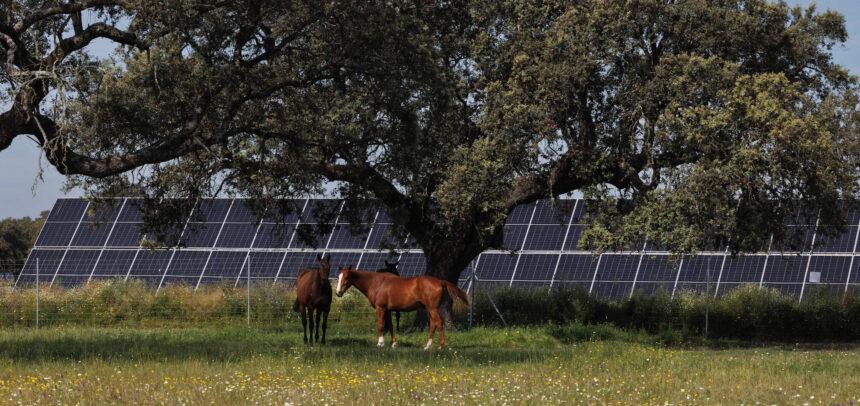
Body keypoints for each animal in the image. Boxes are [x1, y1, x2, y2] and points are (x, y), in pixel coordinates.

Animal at [336, 266, 470, 348]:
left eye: (346, 277)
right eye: (338, 277)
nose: (338, 293)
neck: (376, 283)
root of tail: (440, 281)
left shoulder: (380, 308)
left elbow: (381, 325)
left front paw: (380, 343)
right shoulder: (388, 310)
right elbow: (390, 326)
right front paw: (394, 344)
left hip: (432, 309)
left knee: (439, 323)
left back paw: (441, 346)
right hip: (429, 309)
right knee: (433, 325)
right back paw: (427, 346)